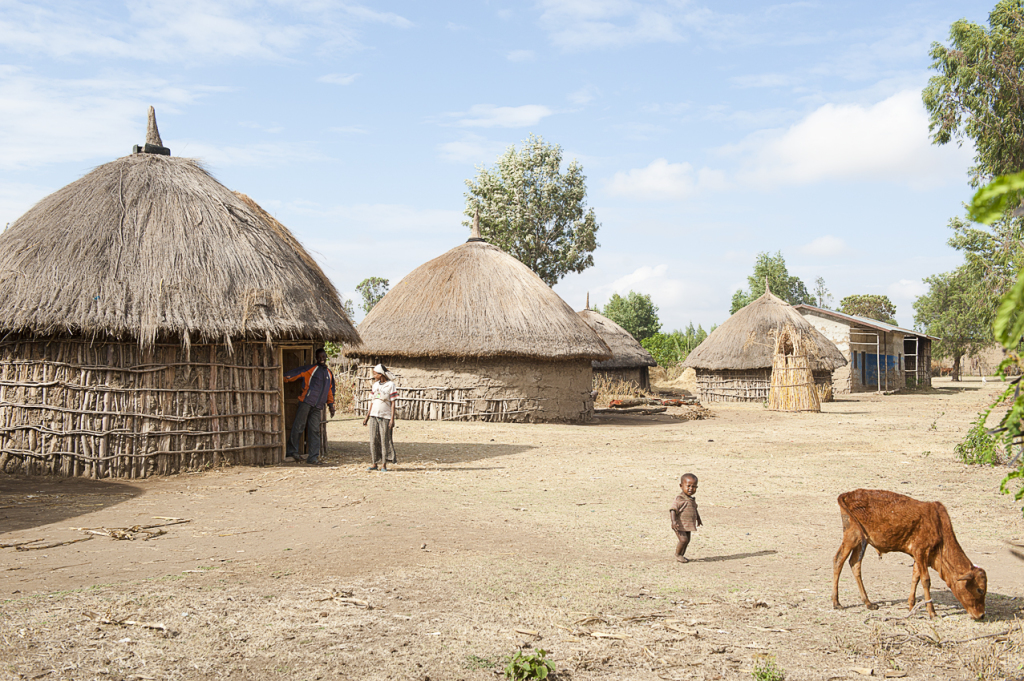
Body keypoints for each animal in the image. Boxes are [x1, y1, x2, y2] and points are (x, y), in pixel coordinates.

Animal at [835, 489, 987, 614]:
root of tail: (846, 495)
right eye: (980, 590)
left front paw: (911, 606)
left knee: (855, 564)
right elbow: (926, 580)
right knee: (838, 560)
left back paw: (868, 603)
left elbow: (915, 578)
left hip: (862, 541)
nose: (981, 615)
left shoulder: (919, 556)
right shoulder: (921, 552)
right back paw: (836, 602)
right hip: (852, 536)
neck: (938, 526)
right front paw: (932, 612)